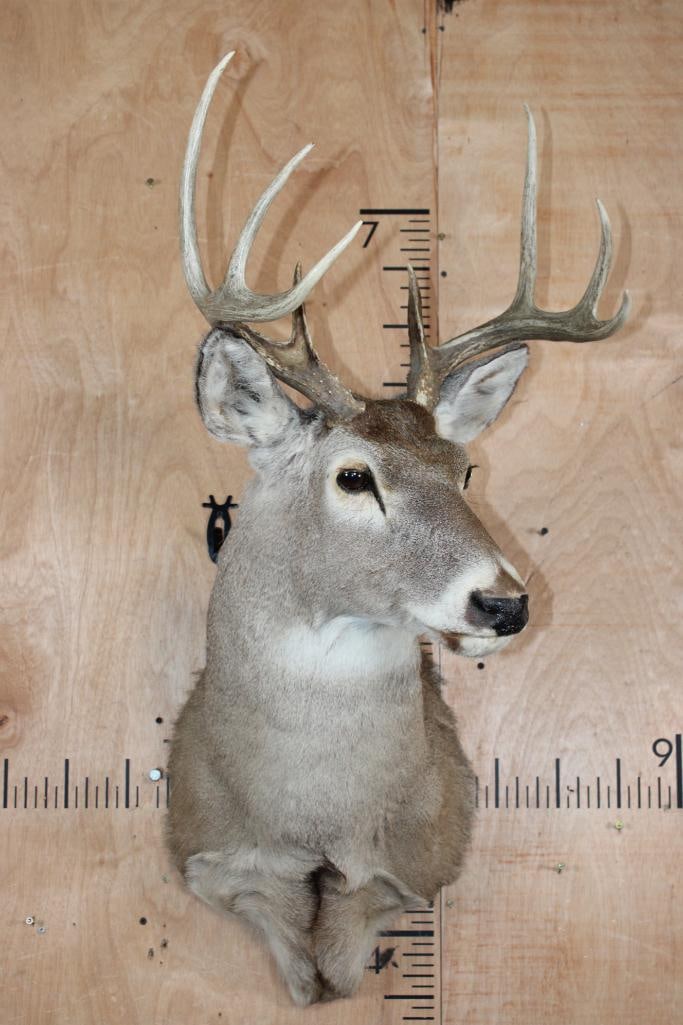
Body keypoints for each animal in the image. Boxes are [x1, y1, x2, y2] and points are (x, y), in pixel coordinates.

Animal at [167, 52, 629, 1006]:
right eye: (353, 476)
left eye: (464, 469)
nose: (503, 604)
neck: (312, 818)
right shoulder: (215, 859)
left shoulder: (405, 869)